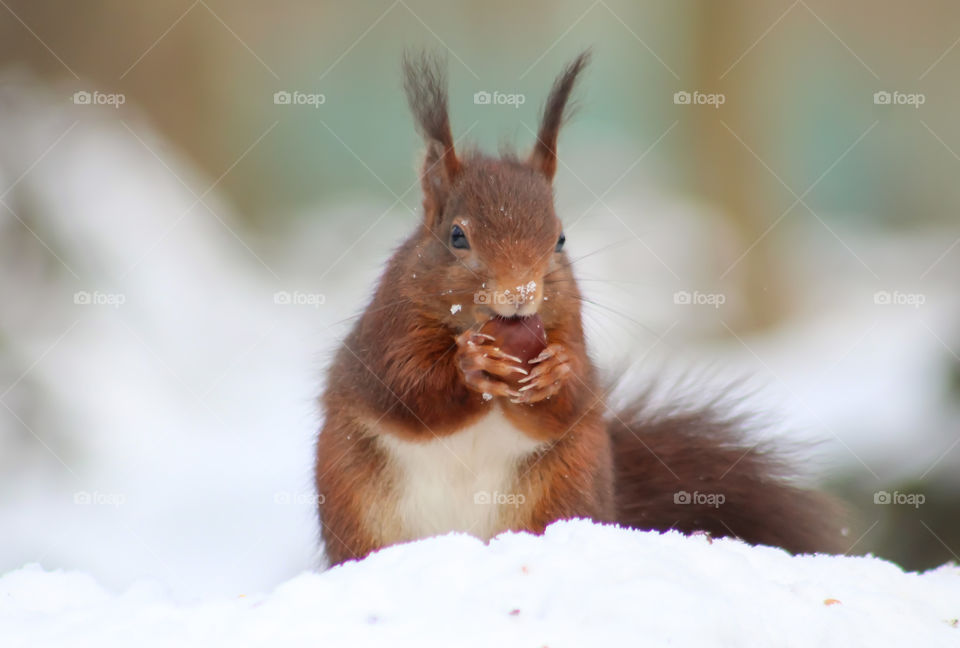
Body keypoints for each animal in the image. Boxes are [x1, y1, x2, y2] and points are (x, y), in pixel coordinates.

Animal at [314, 52, 840, 568]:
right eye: (457, 237)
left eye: (561, 240)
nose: (520, 293)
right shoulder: (388, 327)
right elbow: (404, 386)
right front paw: (471, 364)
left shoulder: (570, 324)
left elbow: (570, 400)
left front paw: (558, 371)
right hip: (355, 500)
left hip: (565, 486)